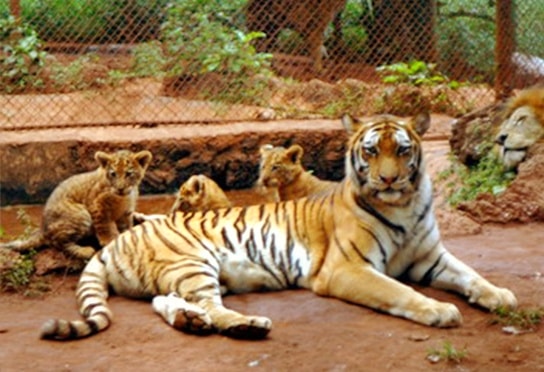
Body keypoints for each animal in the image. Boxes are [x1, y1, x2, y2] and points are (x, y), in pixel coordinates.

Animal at [40, 112, 516, 340]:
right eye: (370, 151)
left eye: (401, 150)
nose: (388, 180)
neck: (404, 206)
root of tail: (111, 244)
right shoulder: (346, 268)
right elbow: (400, 291)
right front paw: (439, 310)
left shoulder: (430, 257)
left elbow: (472, 274)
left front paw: (502, 296)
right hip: (192, 263)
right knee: (210, 307)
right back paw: (246, 325)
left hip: (179, 277)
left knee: (167, 302)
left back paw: (192, 321)